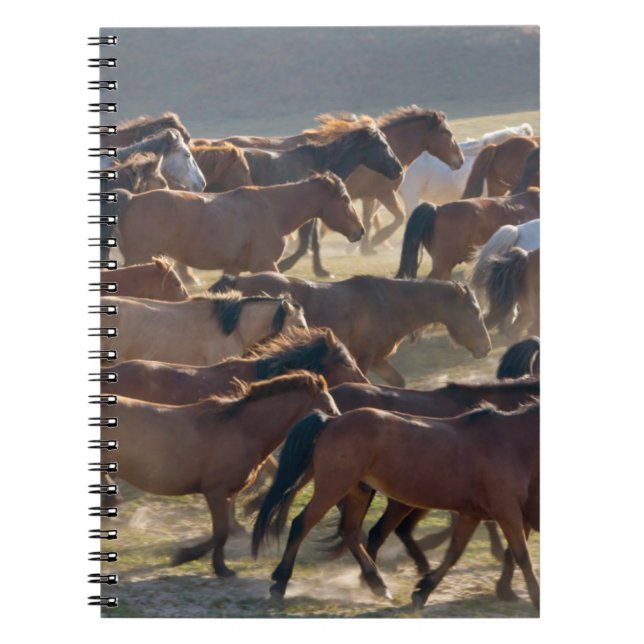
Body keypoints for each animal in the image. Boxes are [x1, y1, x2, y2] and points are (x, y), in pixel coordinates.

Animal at [105, 173, 363, 272]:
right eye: (345, 198)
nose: (359, 231)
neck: (273, 210)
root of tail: (132, 199)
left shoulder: (235, 269)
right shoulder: (265, 265)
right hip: (138, 259)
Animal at [105, 372, 339, 578]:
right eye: (329, 408)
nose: (335, 432)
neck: (243, 429)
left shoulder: (228, 493)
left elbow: (224, 531)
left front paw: (220, 568)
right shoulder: (215, 491)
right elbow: (221, 532)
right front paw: (185, 556)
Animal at [210, 272, 491, 387]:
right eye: (473, 311)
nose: (486, 348)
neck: (388, 304)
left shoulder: (378, 360)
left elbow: (398, 382)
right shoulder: (362, 358)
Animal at [252, 403, 540, 609]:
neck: (510, 444)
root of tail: (332, 421)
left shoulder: (473, 515)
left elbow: (454, 554)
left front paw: (423, 591)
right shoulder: (507, 511)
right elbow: (522, 555)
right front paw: (535, 598)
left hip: (356, 491)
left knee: (351, 532)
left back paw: (377, 584)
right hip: (333, 486)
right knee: (302, 523)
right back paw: (280, 583)